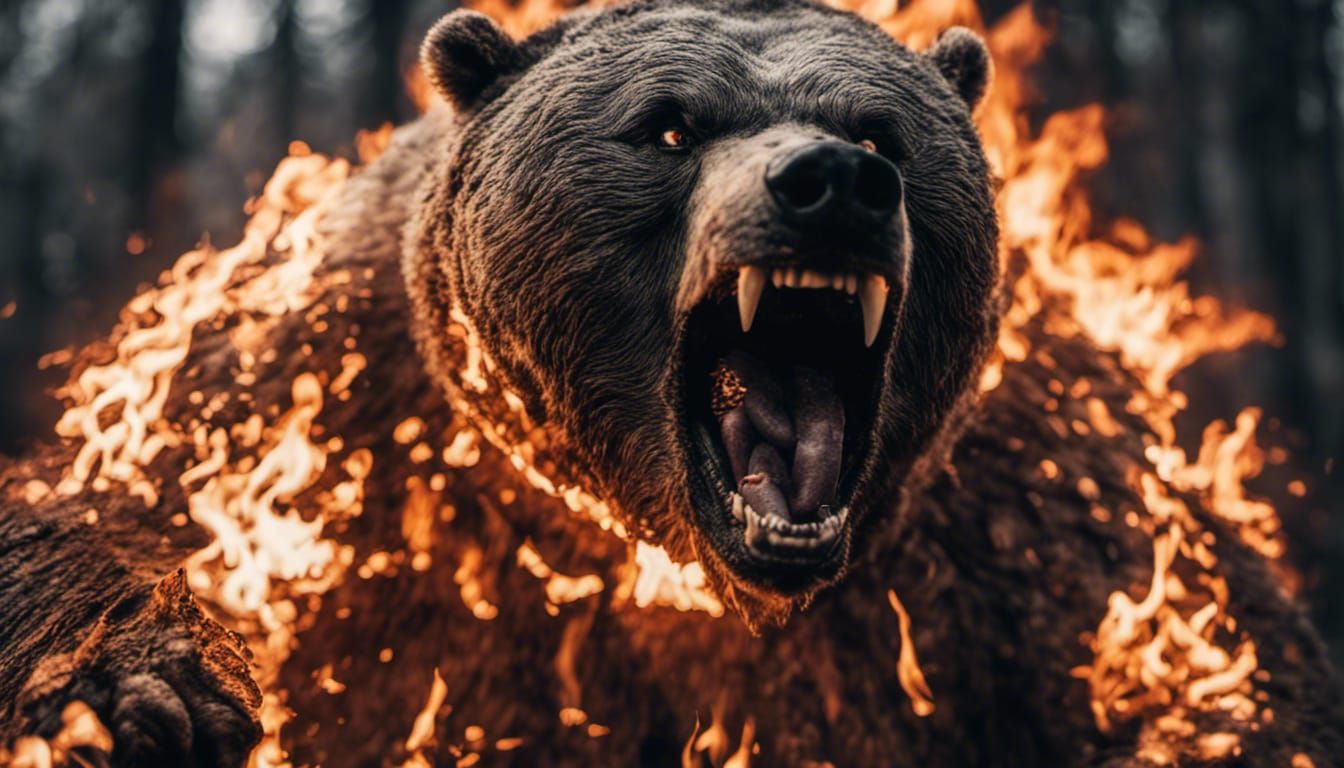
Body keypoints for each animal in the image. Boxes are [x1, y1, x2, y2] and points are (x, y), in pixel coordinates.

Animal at [1, 0, 1340, 766]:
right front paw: (146, 693)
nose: (832, 183)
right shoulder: (328, 415)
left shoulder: (1016, 526)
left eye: (887, 132)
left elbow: (1220, 678)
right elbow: (112, 513)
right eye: (667, 125)